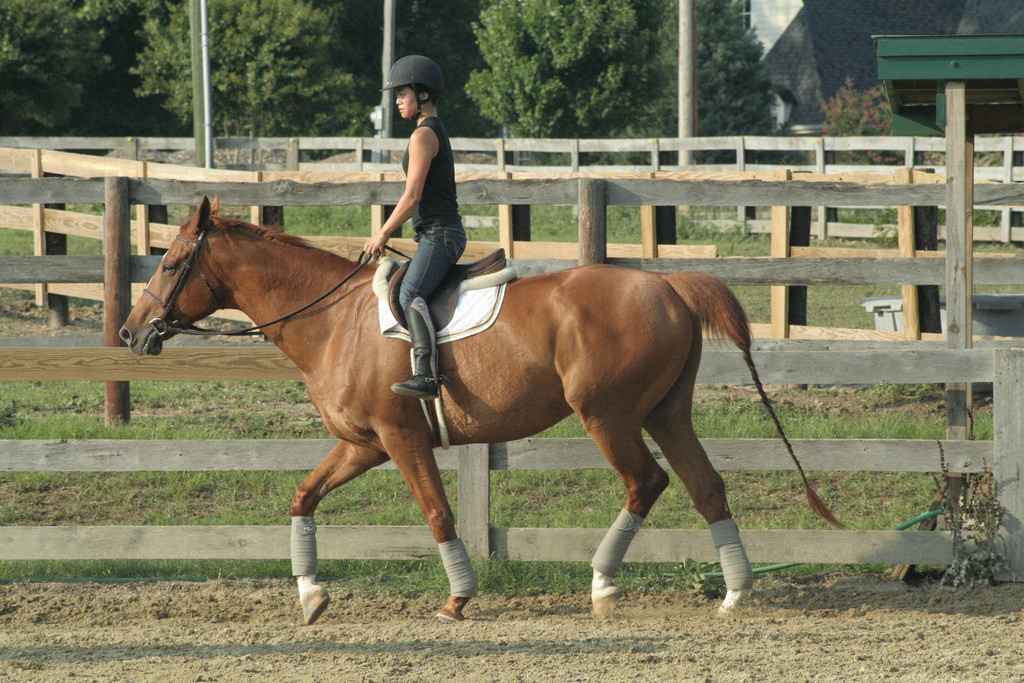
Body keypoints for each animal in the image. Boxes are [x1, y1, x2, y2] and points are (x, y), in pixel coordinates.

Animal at [119, 197, 840, 625]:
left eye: (173, 262)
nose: (131, 332)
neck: (334, 320)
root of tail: (668, 285)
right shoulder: (362, 443)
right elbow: (303, 495)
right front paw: (311, 594)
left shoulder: (400, 438)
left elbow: (437, 512)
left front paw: (458, 597)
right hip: (666, 412)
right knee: (706, 486)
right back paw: (735, 592)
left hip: (607, 415)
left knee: (648, 481)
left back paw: (604, 584)